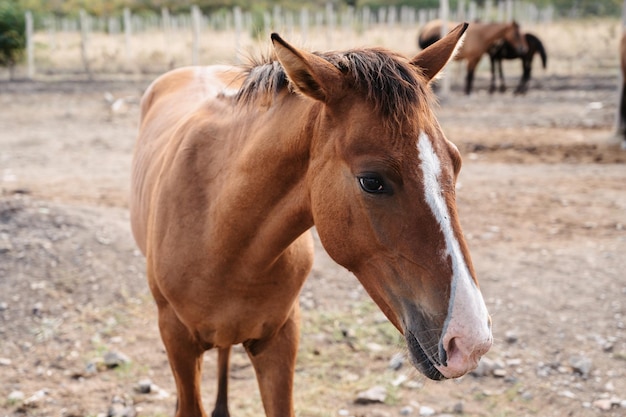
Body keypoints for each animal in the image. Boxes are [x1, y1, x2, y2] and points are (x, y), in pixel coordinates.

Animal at [130, 22, 492, 416]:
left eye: (456, 161)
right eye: (372, 181)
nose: (469, 342)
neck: (219, 231)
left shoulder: (281, 339)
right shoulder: (178, 342)